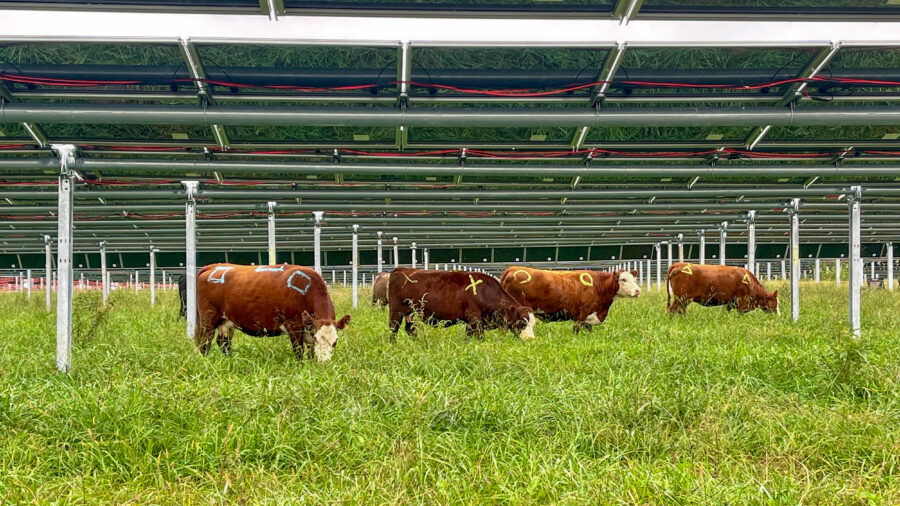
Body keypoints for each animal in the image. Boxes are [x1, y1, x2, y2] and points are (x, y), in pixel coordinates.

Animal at [195, 263, 351, 362]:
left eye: (335, 341)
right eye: (318, 339)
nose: (324, 363)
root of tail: (213, 266)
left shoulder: (309, 328)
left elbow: (311, 352)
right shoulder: (294, 325)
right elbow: (299, 351)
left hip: (225, 321)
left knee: (223, 342)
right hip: (208, 318)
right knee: (203, 342)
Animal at [388, 267, 535, 340]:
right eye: (522, 321)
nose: (530, 339)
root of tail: (400, 269)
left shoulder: (471, 322)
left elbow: (468, 336)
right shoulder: (475, 318)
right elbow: (479, 337)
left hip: (410, 312)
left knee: (410, 329)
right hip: (397, 310)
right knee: (393, 328)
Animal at [500, 266, 641, 333]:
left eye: (634, 279)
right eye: (623, 279)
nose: (638, 290)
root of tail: (513, 268)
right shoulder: (581, 315)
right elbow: (576, 331)